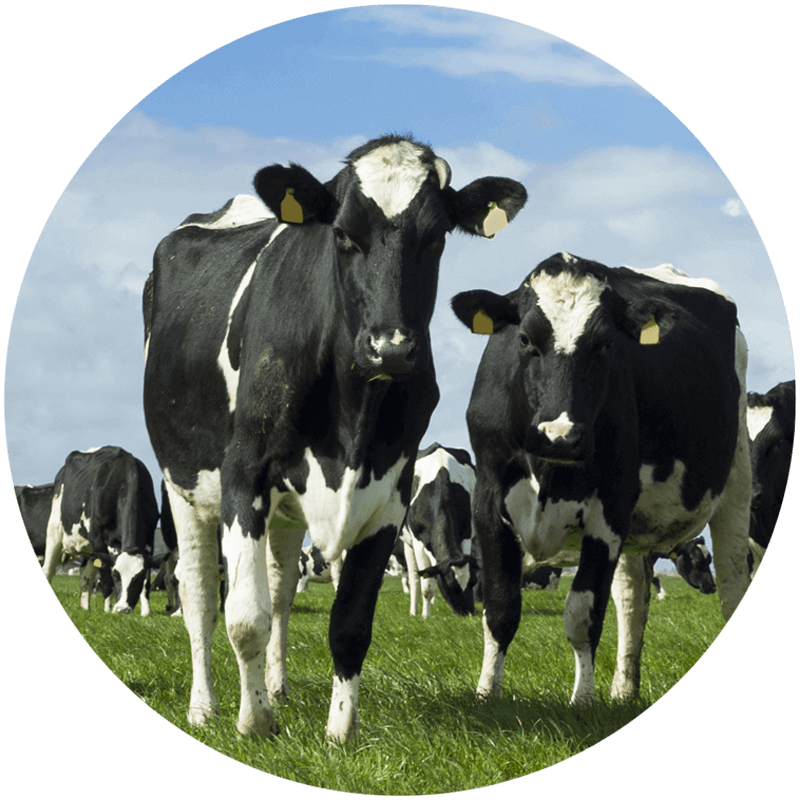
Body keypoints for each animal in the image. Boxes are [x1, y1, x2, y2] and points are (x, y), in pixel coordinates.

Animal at [42, 446, 161, 615]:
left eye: (137, 577)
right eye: (116, 575)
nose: (123, 609)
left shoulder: (149, 539)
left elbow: (146, 580)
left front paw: (146, 612)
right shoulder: (98, 539)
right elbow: (106, 580)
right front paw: (108, 611)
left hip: (89, 548)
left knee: (85, 578)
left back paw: (85, 608)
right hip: (55, 531)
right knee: (49, 569)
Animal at [401, 443, 478, 618]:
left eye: (473, 582)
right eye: (450, 586)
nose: (469, 614)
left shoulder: (466, 535)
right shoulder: (418, 543)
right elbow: (426, 587)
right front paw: (425, 616)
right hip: (407, 544)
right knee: (414, 578)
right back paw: (414, 612)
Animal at [451, 253, 752, 705]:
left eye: (606, 344)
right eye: (523, 339)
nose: (560, 434)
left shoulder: (607, 508)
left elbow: (583, 615)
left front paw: (582, 701)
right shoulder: (487, 501)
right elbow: (500, 607)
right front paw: (487, 694)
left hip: (736, 481)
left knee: (733, 581)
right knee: (631, 598)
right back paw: (624, 689)